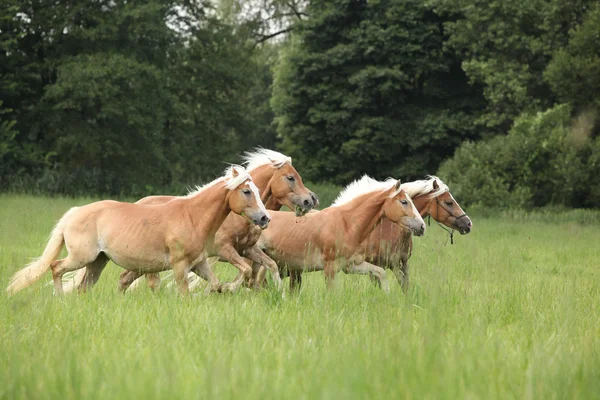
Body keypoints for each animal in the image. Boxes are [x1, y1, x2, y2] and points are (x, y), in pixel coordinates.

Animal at [7, 164, 268, 296]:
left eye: (257, 190)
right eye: (246, 191)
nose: (265, 218)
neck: (192, 217)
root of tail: (75, 212)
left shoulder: (198, 263)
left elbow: (214, 283)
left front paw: (224, 289)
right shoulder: (180, 265)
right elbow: (183, 292)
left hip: (97, 262)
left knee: (83, 287)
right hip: (81, 257)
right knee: (56, 267)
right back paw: (59, 298)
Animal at [64, 148, 318, 292]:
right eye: (290, 177)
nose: (310, 200)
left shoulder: (247, 249)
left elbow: (267, 267)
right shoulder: (225, 250)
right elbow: (245, 273)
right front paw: (225, 290)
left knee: (125, 279)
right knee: (148, 282)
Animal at [255, 177, 424, 292]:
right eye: (404, 202)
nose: (422, 226)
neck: (347, 224)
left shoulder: (351, 265)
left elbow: (381, 273)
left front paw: (387, 295)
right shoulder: (330, 268)